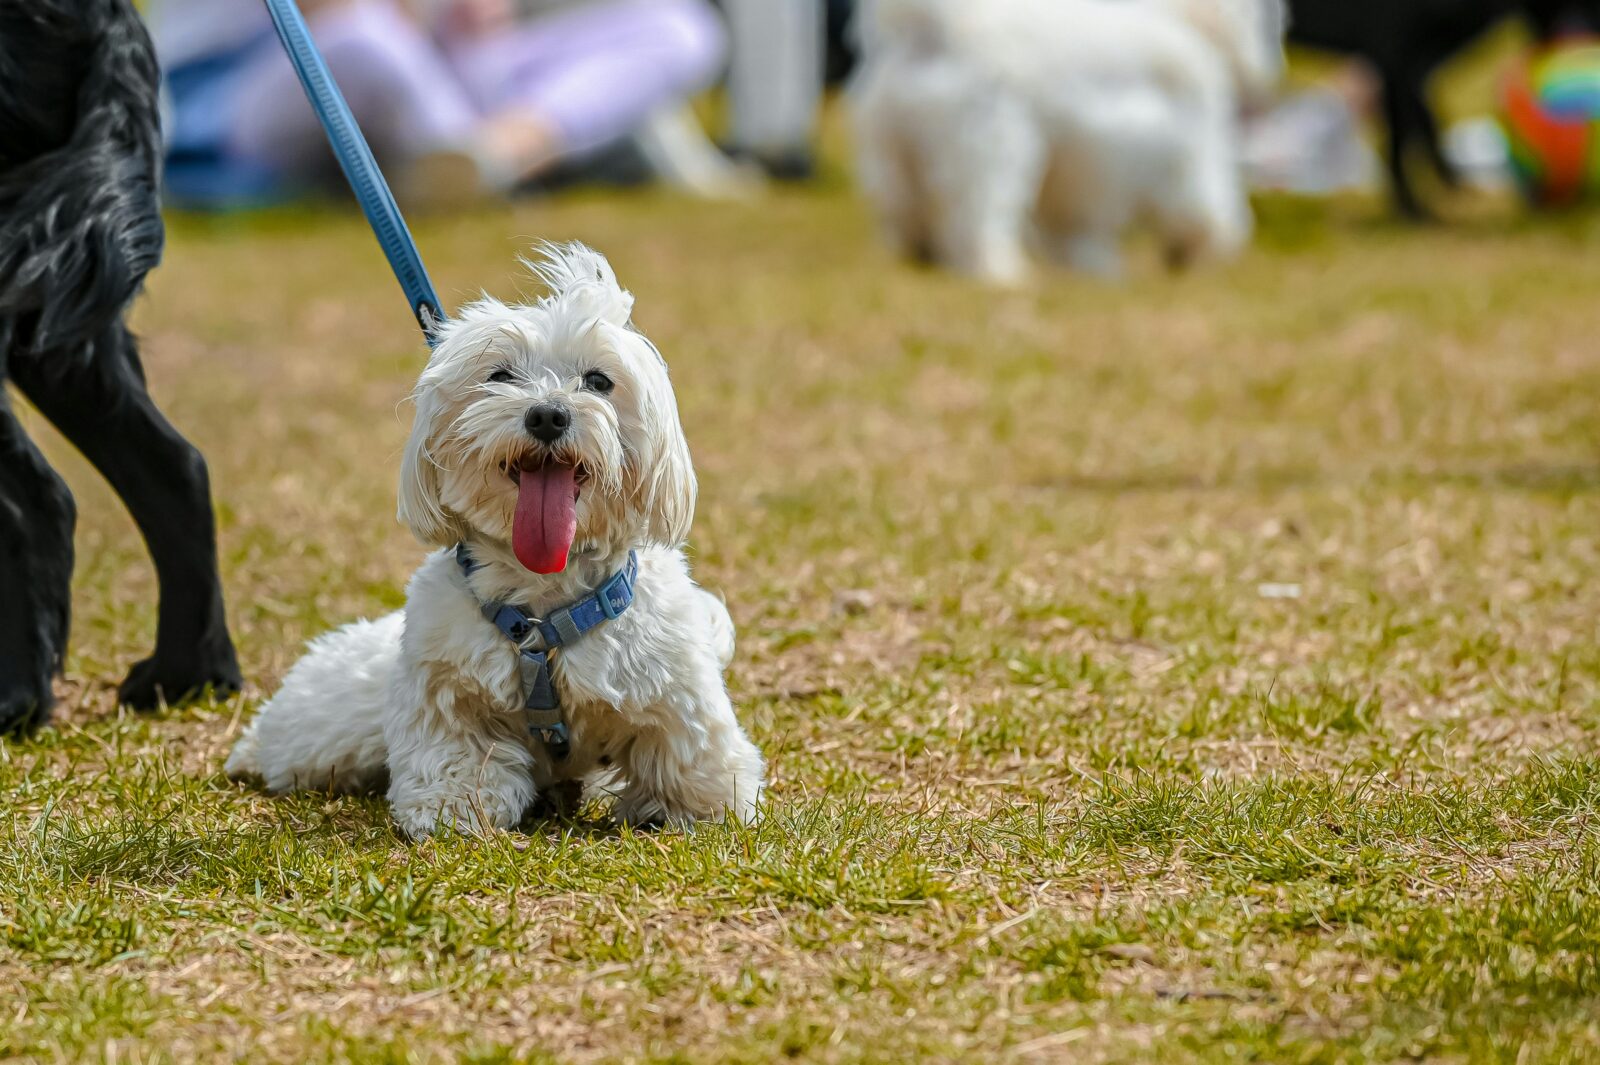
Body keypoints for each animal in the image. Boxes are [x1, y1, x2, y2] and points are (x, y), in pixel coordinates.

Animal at [227, 244, 768, 831]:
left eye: (599, 381)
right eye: (501, 375)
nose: (548, 413)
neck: (544, 593)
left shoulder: (669, 681)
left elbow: (685, 747)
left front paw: (701, 808)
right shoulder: (448, 690)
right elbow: (460, 755)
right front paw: (454, 809)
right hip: (330, 728)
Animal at [851, 0, 1286, 281]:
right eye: (1265, 22)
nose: (1271, 71)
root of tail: (933, 31)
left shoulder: (1083, 167)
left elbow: (1072, 225)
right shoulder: (1183, 149)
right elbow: (1206, 206)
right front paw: (1198, 249)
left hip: (898, 152)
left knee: (909, 211)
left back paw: (925, 254)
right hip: (996, 148)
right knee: (979, 214)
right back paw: (1002, 269)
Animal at [1286, 0, 1600, 217]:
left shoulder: (1415, 62)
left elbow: (1423, 119)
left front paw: (1449, 184)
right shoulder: (1392, 51)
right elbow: (1403, 136)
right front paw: (1413, 210)